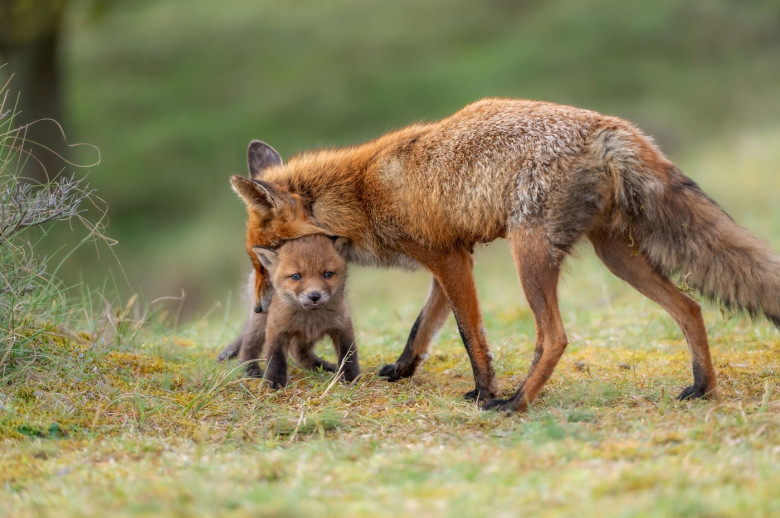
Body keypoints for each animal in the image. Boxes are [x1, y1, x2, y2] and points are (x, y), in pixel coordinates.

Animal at [225, 97, 780, 414]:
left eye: (263, 259)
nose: (258, 309)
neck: (361, 191)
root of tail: (610, 126)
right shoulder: (450, 259)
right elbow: (422, 330)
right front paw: (402, 372)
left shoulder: (447, 259)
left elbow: (471, 337)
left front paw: (485, 392)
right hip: (614, 255)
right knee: (690, 306)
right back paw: (703, 387)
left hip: (528, 251)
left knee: (554, 337)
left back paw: (516, 404)